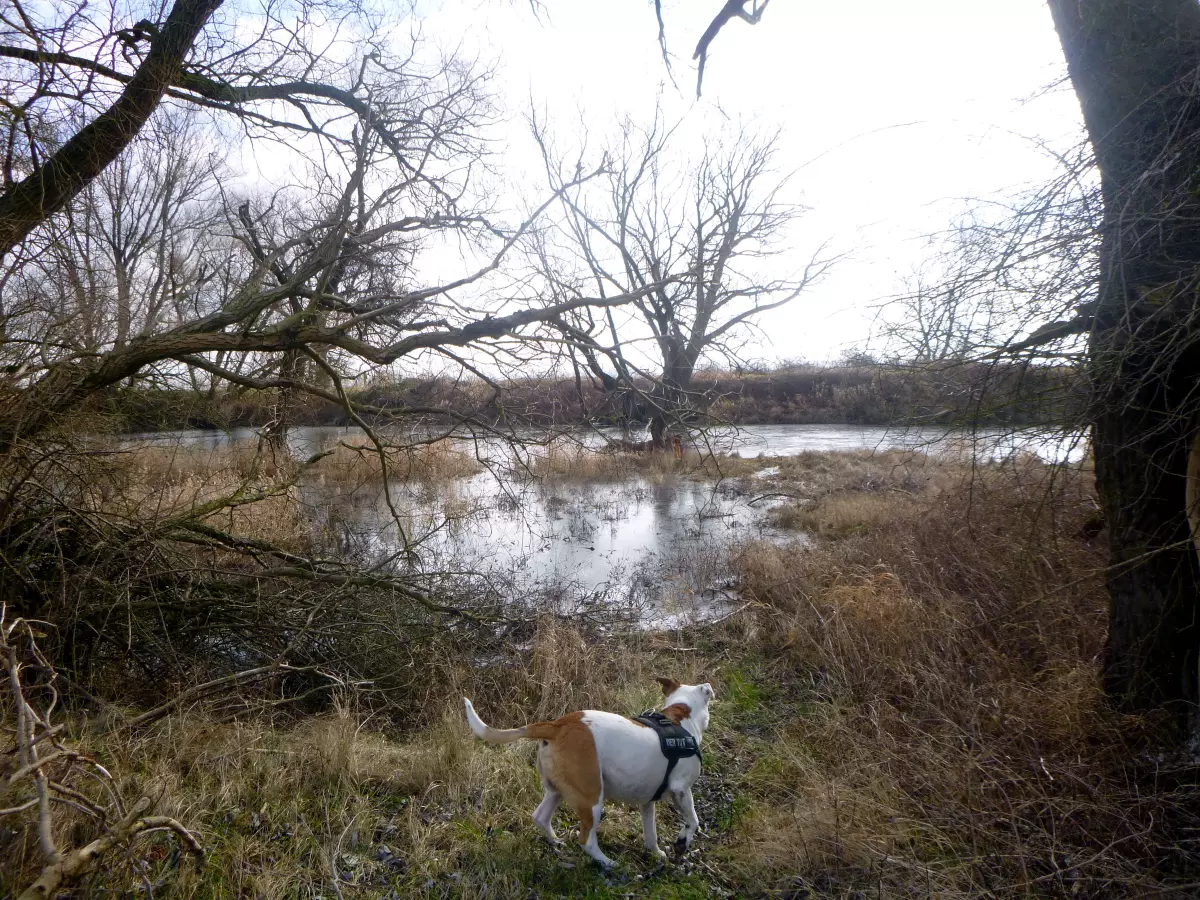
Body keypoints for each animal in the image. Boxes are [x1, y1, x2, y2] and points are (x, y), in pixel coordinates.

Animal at [463, 681, 710, 868]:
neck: (681, 718)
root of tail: (557, 725)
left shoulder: (647, 803)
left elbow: (651, 834)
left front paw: (656, 853)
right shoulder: (681, 790)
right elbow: (693, 820)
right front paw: (682, 841)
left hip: (557, 790)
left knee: (540, 816)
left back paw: (555, 842)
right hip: (592, 797)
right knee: (586, 840)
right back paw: (607, 862)